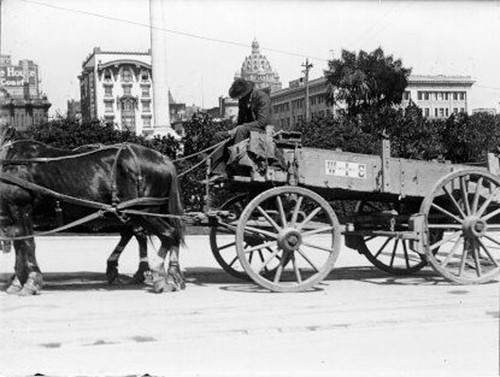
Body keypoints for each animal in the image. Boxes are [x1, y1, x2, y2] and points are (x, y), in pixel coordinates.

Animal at [0, 137, 184, 296]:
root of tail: (162, 158)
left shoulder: (21, 208)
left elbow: (27, 244)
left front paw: (30, 281)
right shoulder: (13, 214)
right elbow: (20, 245)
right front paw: (17, 281)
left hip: (143, 211)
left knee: (168, 234)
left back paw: (159, 273)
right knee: (164, 235)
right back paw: (171, 275)